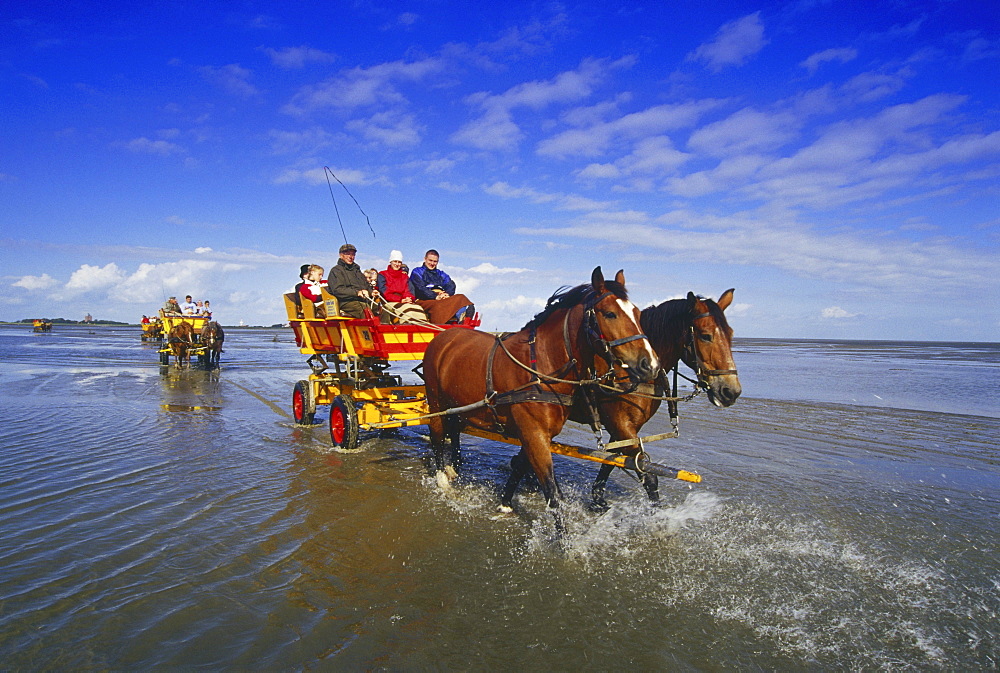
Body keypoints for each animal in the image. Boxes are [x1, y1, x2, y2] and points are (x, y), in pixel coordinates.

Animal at [420, 266, 660, 524]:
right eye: (609, 314)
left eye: (637, 313)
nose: (650, 365)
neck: (541, 368)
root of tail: (444, 336)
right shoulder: (534, 434)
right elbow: (552, 493)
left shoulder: (536, 434)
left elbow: (521, 468)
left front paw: (505, 503)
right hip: (436, 401)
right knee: (437, 434)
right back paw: (442, 478)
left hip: (456, 404)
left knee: (453, 429)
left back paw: (453, 468)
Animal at [572, 288, 744, 504]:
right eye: (705, 336)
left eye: (730, 334)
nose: (731, 391)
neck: (626, 371)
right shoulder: (620, 424)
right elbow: (647, 475)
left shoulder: (624, 429)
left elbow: (610, 462)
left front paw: (598, 498)